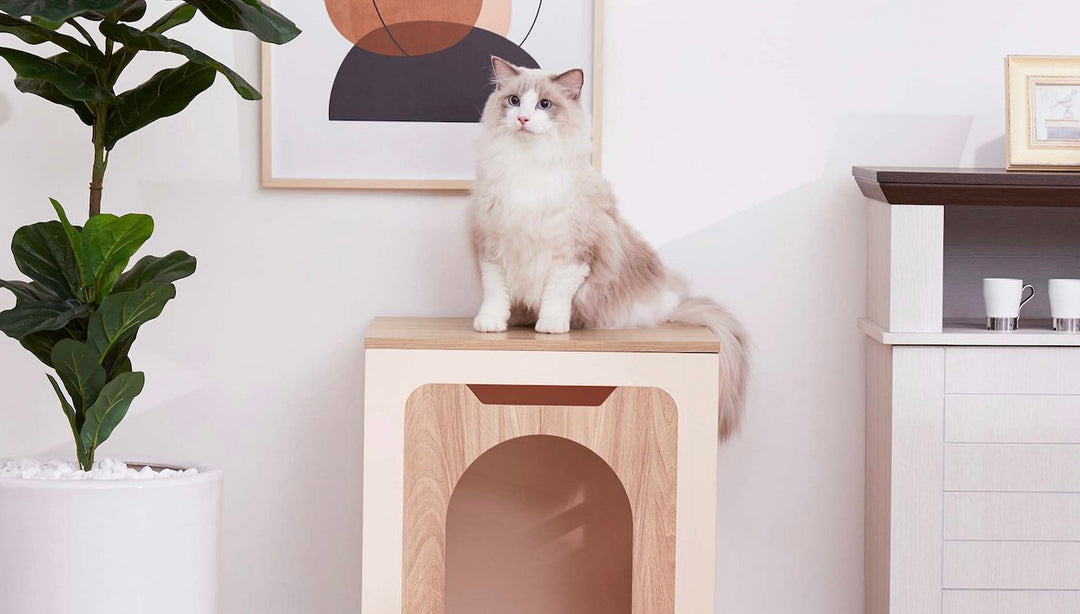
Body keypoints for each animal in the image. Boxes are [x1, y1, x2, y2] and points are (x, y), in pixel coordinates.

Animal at [468, 57, 756, 438]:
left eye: (544, 105)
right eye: (514, 101)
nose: (524, 119)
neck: (526, 167)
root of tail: (672, 307)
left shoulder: (573, 254)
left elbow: (555, 296)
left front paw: (551, 326)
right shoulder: (492, 245)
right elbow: (495, 294)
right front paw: (490, 325)